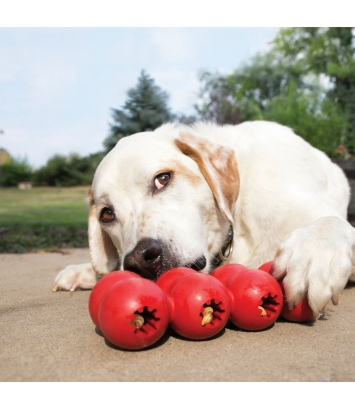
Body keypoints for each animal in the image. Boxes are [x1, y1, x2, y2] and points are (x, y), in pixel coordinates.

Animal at [52, 120, 355, 316]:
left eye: (163, 178)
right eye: (107, 214)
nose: (139, 259)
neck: (236, 225)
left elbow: (331, 224)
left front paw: (314, 256)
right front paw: (89, 271)